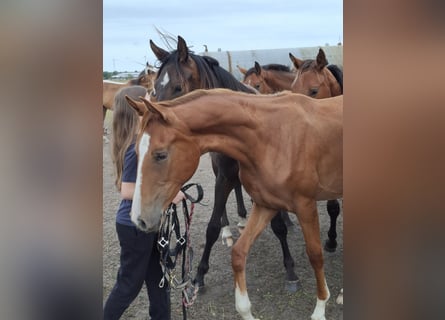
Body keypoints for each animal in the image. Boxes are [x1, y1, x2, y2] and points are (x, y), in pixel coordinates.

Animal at [125, 89, 344, 320]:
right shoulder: (266, 204)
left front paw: (320, 309)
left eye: (160, 155)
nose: (139, 219)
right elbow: (239, 253)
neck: (273, 138)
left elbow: (316, 255)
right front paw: (246, 311)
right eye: (136, 153)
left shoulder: (305, 206)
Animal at [148, 35, 298, 292]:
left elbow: (278, 226)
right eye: (155, 89)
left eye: (178, 87)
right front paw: (199, 275)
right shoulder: (224, 176)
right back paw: (233, 226)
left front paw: (290, 269)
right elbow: (211, 227)